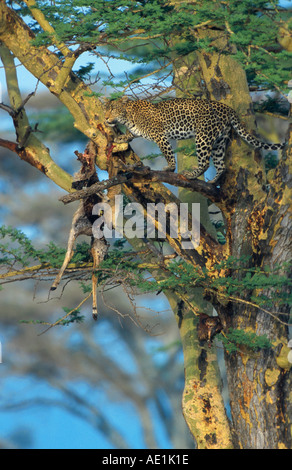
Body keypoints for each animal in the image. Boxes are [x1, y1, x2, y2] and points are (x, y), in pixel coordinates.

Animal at [105, 95, 286, 184]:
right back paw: (212, 181)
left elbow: (168, 153)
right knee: (221, 165)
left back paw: (192, 175)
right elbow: (132, 134)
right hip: (219, 140)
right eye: (106, 109)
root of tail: (228, 108)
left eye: (113, 109)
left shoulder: (160, 136)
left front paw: (170, 168)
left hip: (203, 136)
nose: (106, 118)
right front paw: (121, 137)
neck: (128, 117)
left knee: (205, 162)